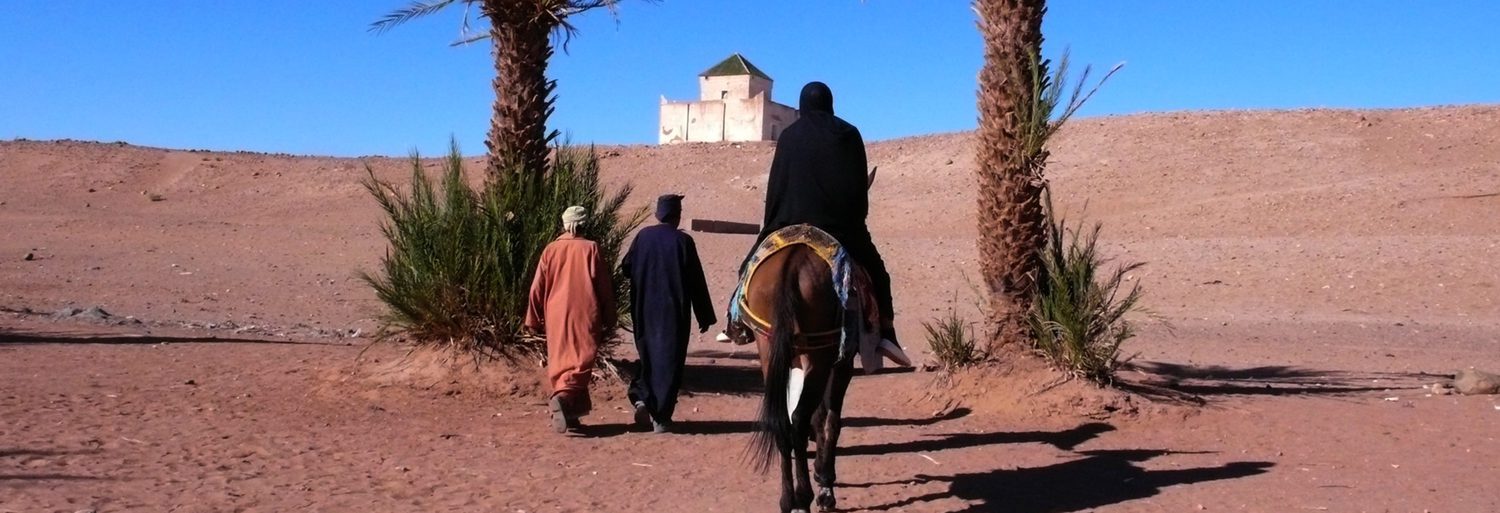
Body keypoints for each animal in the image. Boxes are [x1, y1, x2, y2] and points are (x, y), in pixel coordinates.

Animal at [741, 244, 858, 513]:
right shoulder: (842, 363)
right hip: (817, 356)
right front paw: (825, 481)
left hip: (769, 349)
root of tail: (790, 267)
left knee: (783, 422)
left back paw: (787, 500)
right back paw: (804, 497)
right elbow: (830, 420)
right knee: (800, 419)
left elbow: (820, 417)